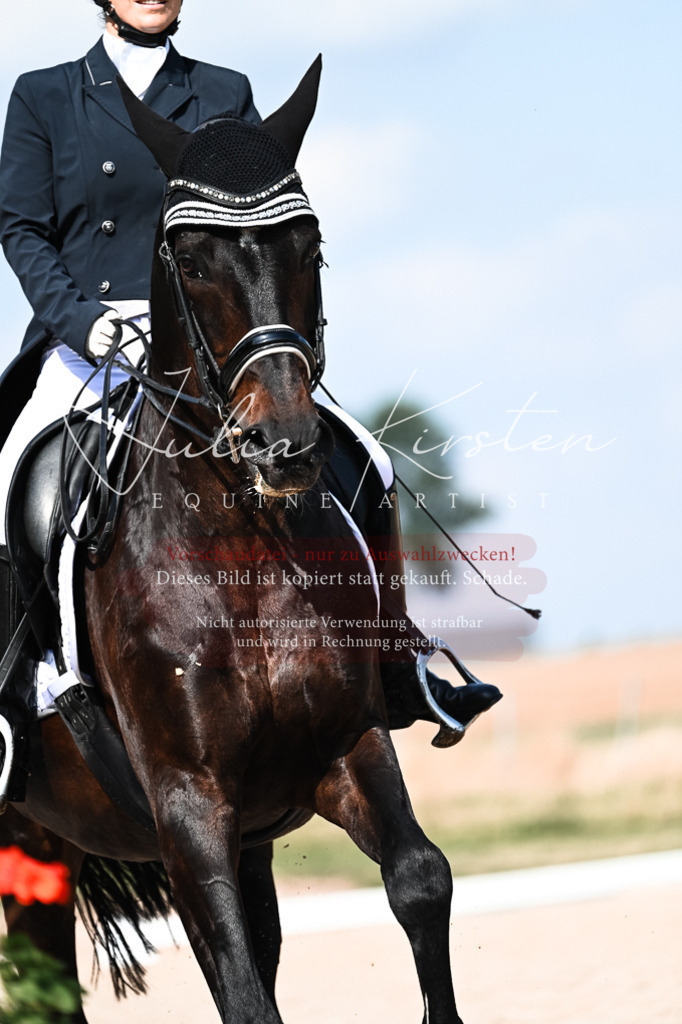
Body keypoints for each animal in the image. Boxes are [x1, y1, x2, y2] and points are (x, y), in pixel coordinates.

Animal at [0, 59, 464, 1024]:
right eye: (188, 259)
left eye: (309, 245)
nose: (281, 444)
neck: (238, 547)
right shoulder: (187, 806)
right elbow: (241, 983)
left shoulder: (341, 748)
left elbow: (419, 880)